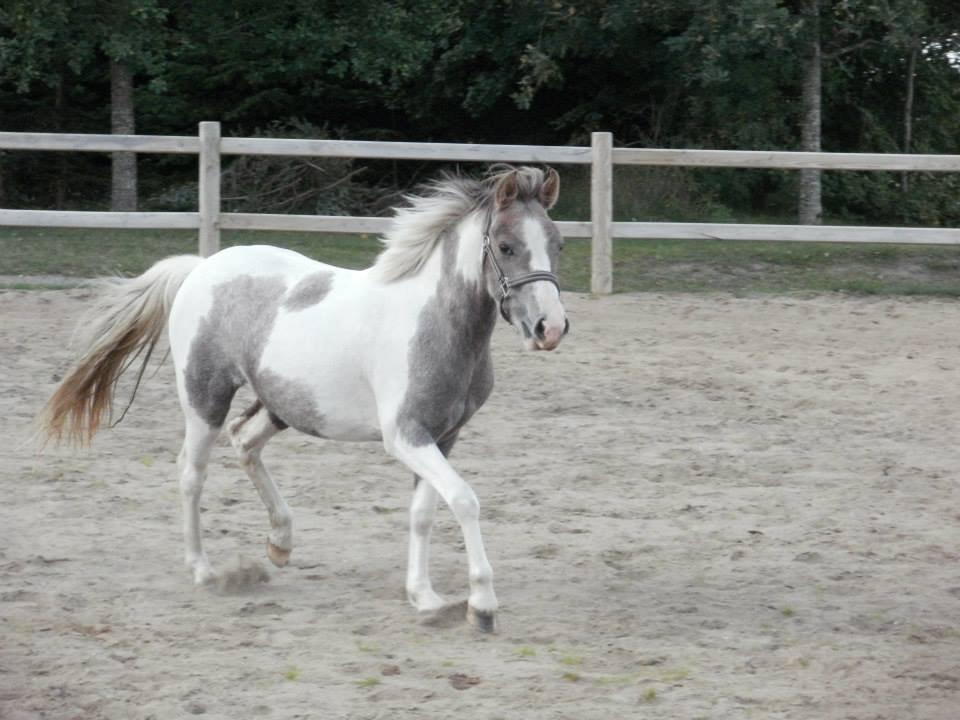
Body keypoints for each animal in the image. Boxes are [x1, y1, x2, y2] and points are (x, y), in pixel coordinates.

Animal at [41, 163, 568, 632]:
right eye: (506, 246)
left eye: (557, 244)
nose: (551, 328)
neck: (434, 323)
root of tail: (201, 268)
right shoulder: (405, 437)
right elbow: (464, 500)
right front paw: (481, 606)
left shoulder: (442, 436)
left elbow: (424, 513)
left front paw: (425, 597)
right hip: (204, 398)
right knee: (192, 472)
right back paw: (205, 570)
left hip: (281, 405)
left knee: (244, 441)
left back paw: (280, 543)